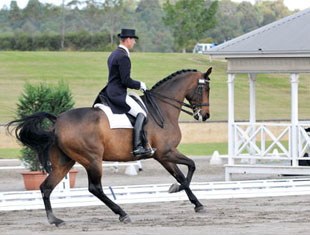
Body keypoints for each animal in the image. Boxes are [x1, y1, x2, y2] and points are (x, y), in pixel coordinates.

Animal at [7, 67, 212, 226]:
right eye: (204, 88)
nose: (205, 115)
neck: (162, 108)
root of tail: (57, 122)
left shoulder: (162, 156)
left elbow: (181, 174)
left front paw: (197, 204)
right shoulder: (166, 152)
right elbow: (191, 167)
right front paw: (175, 189)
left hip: (64, 162)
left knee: (46, 187)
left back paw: (55, 220)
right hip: (92, 159)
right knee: (95, 188)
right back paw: (122, 214)